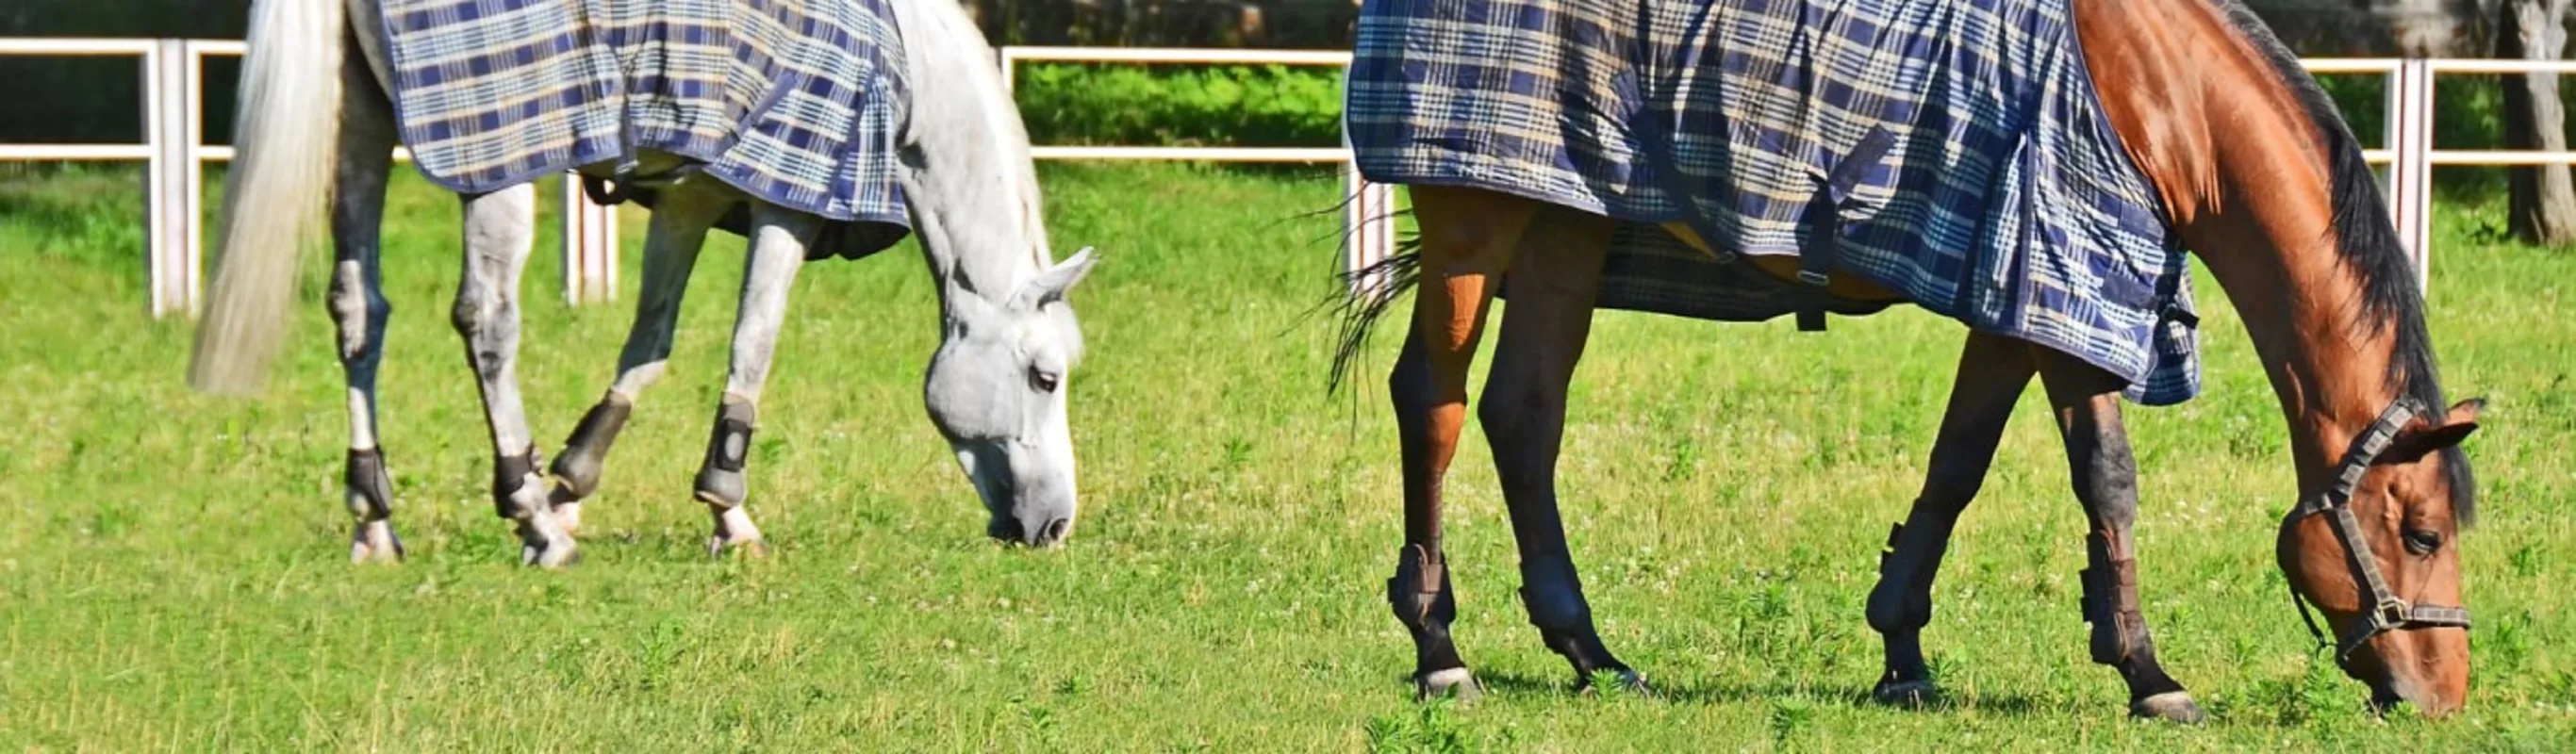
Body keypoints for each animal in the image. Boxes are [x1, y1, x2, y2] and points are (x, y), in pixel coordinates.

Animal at [188, 0, 1097, 563]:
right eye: (1044, 377)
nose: (1055, 525)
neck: (900, 60)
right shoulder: (787, 202)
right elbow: (753, 344)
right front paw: (728, 511)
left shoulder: (692, 199)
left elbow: (649, 345)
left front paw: (572, 482)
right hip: (501, 163)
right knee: (487, 319)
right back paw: (528, 517)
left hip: (361, 130)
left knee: (358, 311)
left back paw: (376, 515)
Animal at [1329, 0, 2472, 720]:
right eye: (2420, 532)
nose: (2443, 694)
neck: (2157, 88)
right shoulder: (2065, 283)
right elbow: (2107, 481)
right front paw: (2148, 673)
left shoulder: (2013, 306)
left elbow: (1954, 467)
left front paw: (1901, 651)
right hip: (1476, 219)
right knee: (1431, 403)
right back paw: (1440, 653)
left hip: (1568, 222)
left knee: (1523, 416)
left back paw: (1594, 655)